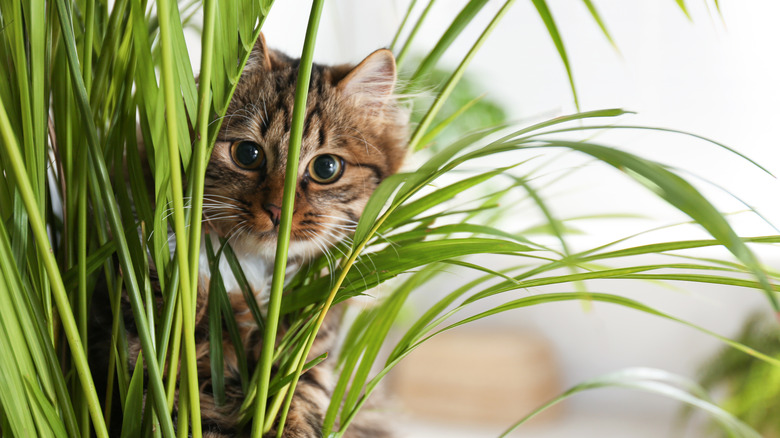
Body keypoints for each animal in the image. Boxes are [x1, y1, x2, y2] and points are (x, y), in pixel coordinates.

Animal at [93, 35, 408, 438]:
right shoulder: (151, 350)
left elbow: (298, 402)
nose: (277, 211)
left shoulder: (306, 356)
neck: (247, 271)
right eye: (247, 153)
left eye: (326, 168)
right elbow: (186, 412)